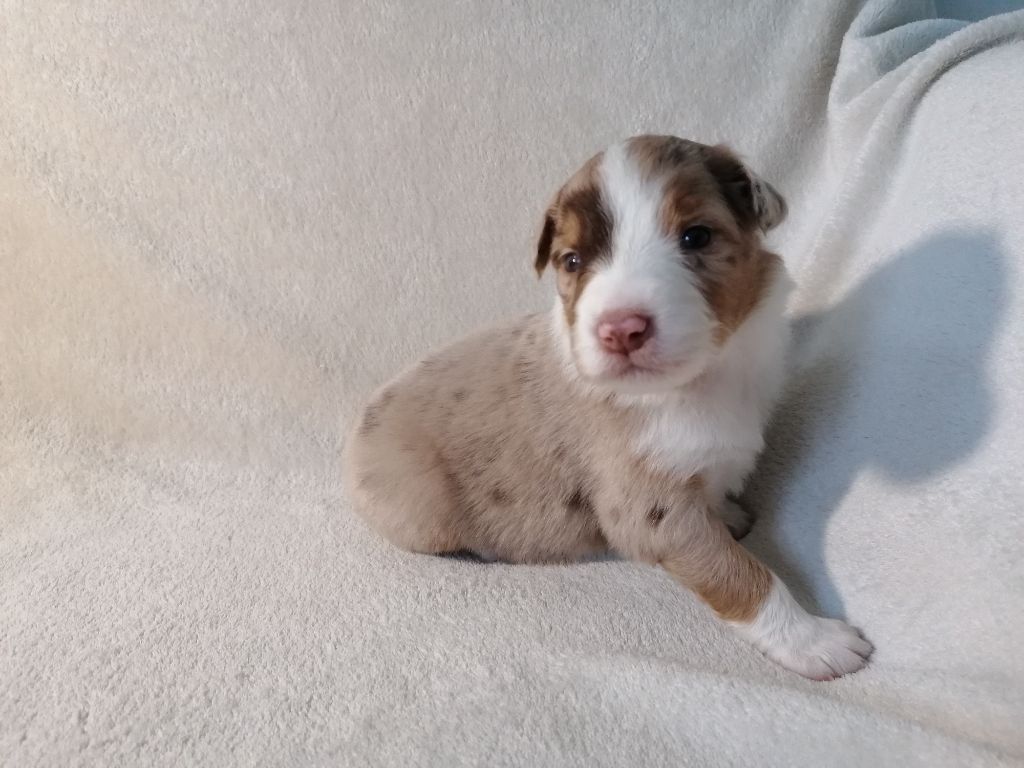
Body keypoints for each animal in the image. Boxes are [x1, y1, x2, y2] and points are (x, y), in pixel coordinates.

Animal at [343, 135, 872, 680]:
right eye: (572, 261)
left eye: (696, 236)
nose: (620, 330)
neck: (699, 380)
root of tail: (358, 429)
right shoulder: (650, 511)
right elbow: (742, 574)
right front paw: (813, 639)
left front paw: (727, 512)